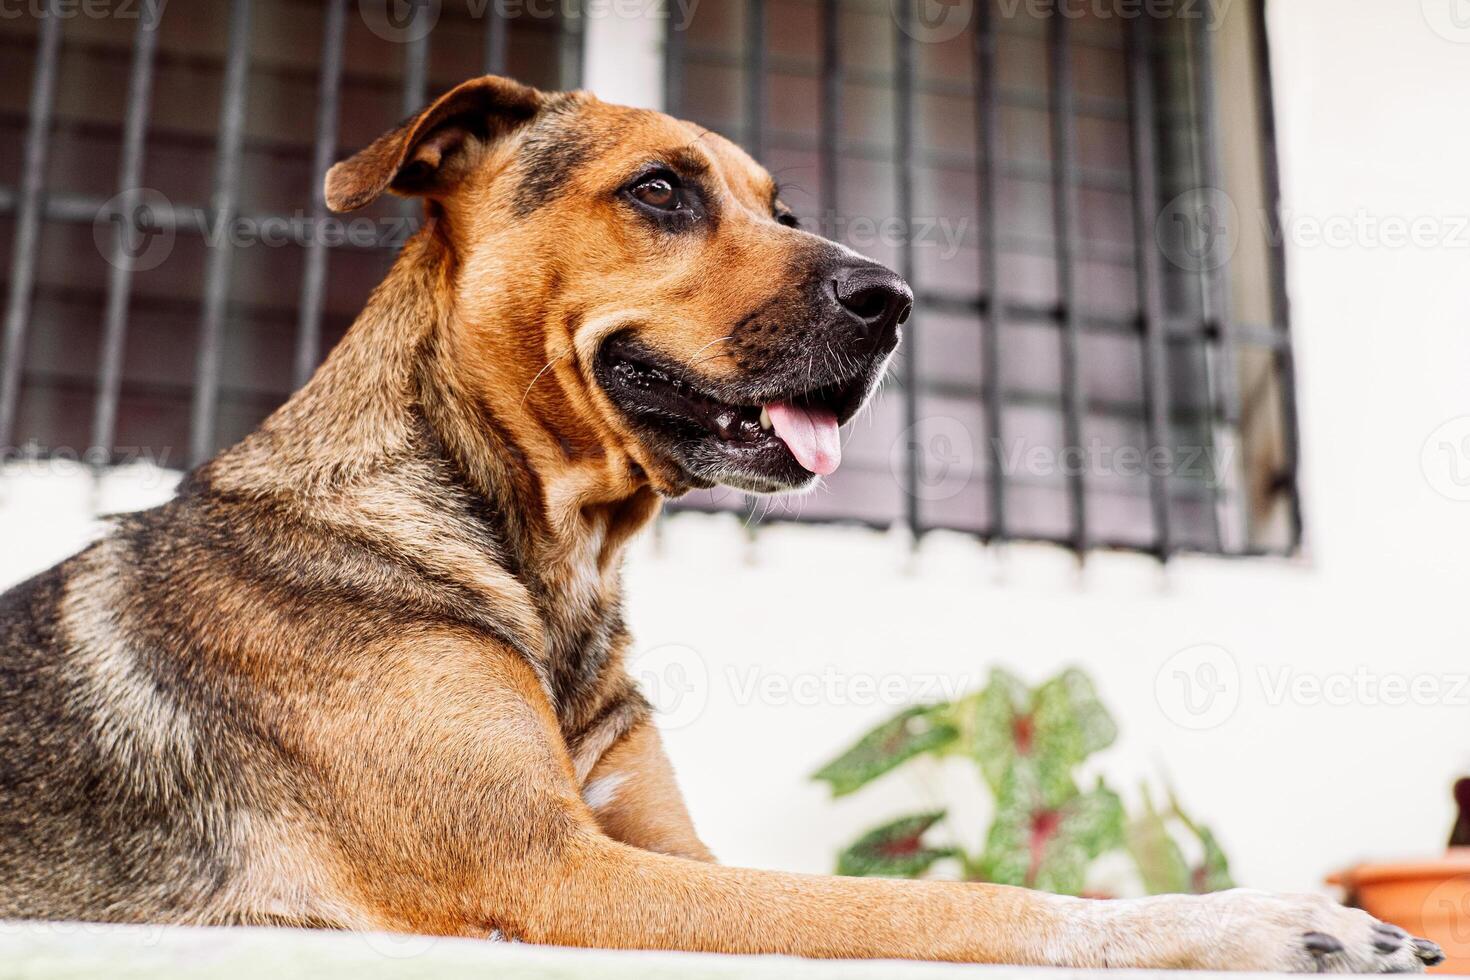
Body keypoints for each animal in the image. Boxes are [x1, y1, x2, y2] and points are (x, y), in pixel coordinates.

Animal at [0, 76, 1446, 975]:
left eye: (780, 208)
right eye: (659, 193)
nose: (896, 299)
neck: (548, 553)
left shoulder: (662, 848)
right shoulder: (549, 873)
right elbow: (944, 899)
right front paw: (1263, 924)